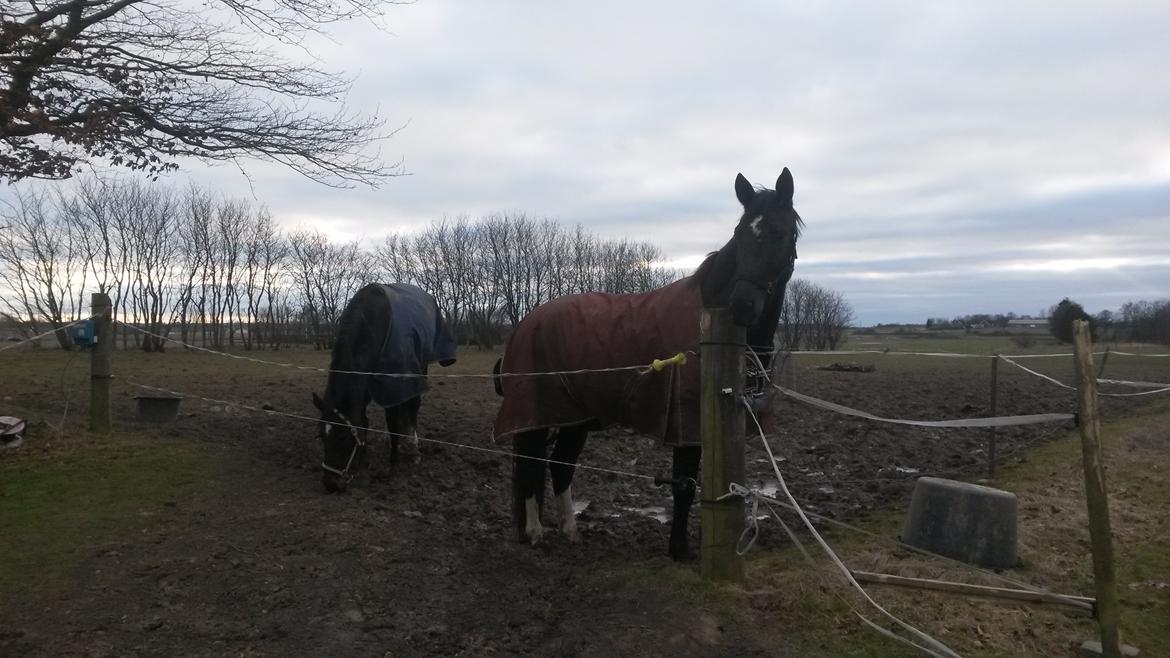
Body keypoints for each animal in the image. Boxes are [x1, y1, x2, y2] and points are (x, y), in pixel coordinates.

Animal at [311, 282, 456, 491]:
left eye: (343, 437)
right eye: (321, 436)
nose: (331, 484)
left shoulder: (392, 386)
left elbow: (393, 422)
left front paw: (393, 464)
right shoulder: (362, 389)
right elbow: (363, 422)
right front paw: (362, 459)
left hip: (418, 371)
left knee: (413, 408)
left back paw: (414, 449)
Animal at [489, 169, 800, 557]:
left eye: (781, 233)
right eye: (740, 233)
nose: (742, 305)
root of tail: (525, 323)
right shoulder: (687, 427)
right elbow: (684, 484)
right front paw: (679, 550)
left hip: (575, 417)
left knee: (561, 466)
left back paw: (570, 531)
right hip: (535, 415)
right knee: (532, 465)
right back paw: (534, 532)